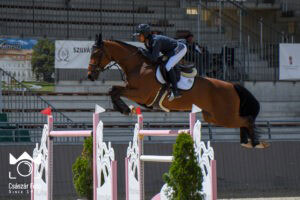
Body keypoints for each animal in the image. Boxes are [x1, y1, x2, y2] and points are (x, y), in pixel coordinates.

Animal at [86, 34, 270, 148]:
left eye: (96, 53)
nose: (90, 75)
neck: (138, 66)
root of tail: (232, 86)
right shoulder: (137, 94)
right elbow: (113, 89)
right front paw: (124, 108)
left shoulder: (141, 94)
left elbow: (114, 90)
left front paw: (124, 109)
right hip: (214, 116)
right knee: (243, 121)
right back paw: (247, 141)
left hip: (224, 115)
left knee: (247, 120)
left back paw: (254, 142)